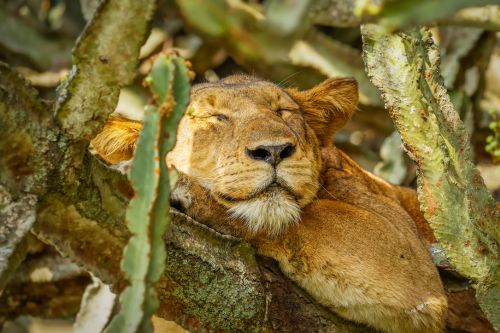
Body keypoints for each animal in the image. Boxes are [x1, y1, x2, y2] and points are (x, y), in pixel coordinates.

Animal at [92, 75, 448, 332]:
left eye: (282, 112)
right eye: (215, 117)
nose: (274, 150)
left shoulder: (405, 253)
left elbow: (291, 219)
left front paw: (175, 185)